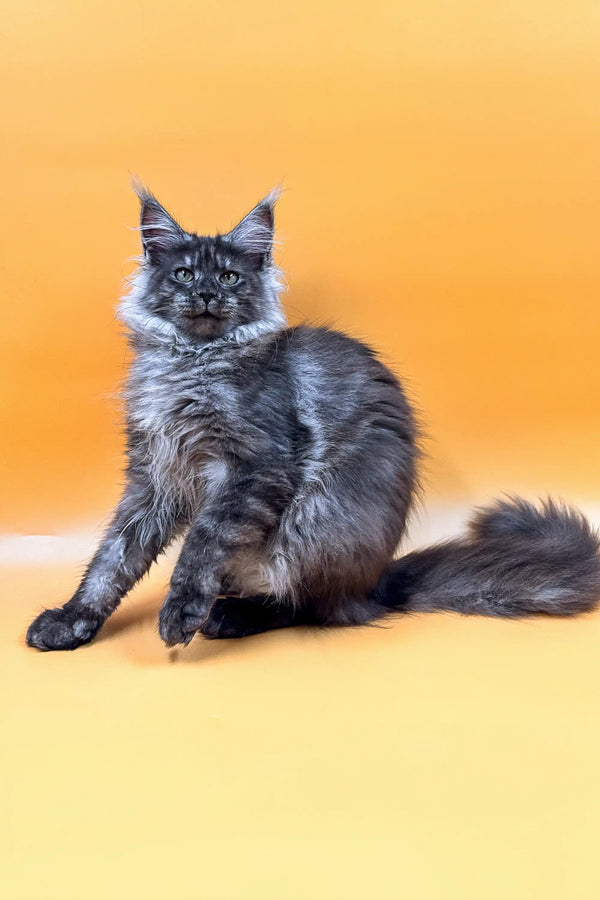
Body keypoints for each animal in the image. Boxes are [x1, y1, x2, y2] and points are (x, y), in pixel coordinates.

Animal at [25, 183, 600, 652]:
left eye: (230, 277)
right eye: (184, 274)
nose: (207, 293)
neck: (191, 363)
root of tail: (378, 580)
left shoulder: (256, 463)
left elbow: (202, 542)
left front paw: (180, 611)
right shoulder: (153, 474)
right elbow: (114, 558)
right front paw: (73, 621)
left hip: (317, 521)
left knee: (309, 607)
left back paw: (229, 616)